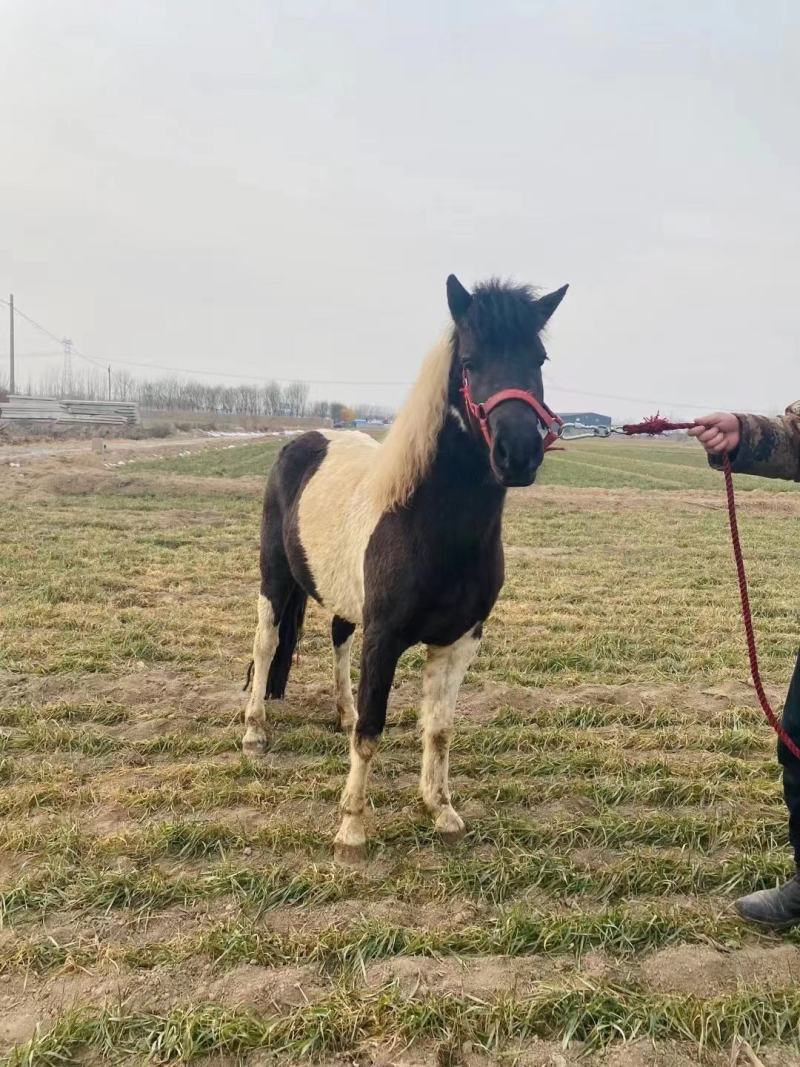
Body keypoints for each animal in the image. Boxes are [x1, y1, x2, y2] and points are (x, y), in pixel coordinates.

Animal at [243, 274, 568, 861]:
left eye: (539, 357)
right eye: (469, 361)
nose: (518, 453)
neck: (427, 522)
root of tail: (303, 441)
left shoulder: (461, 639)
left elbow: (438, 728)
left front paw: (440, 810)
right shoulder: (386, 636)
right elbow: (373, 729)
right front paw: (351, 829)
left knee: (338, 637)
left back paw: (340, 711)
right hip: (274, 578)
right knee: (266, 642)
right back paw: (254, 732)